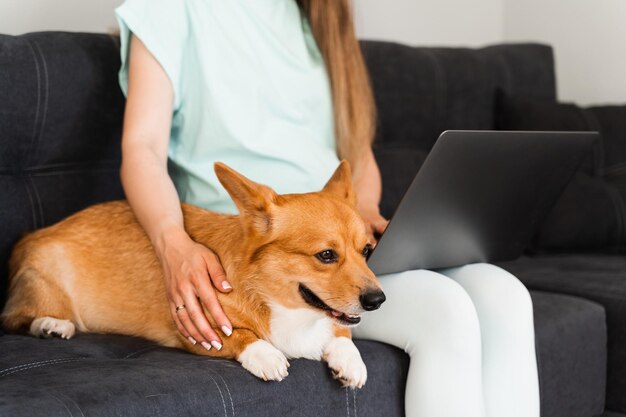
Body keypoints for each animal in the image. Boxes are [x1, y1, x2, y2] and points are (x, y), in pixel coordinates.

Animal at [1, 160, 386, 386]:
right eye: (326, 255)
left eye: (367, 250)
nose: (378, 300)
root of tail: (34, 234)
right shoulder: (196, 330)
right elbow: (238, 336)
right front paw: (266, 355)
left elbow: (341, 332)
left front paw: (350, 361)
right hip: (47, 274)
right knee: (17, 316)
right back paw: (53, 325)